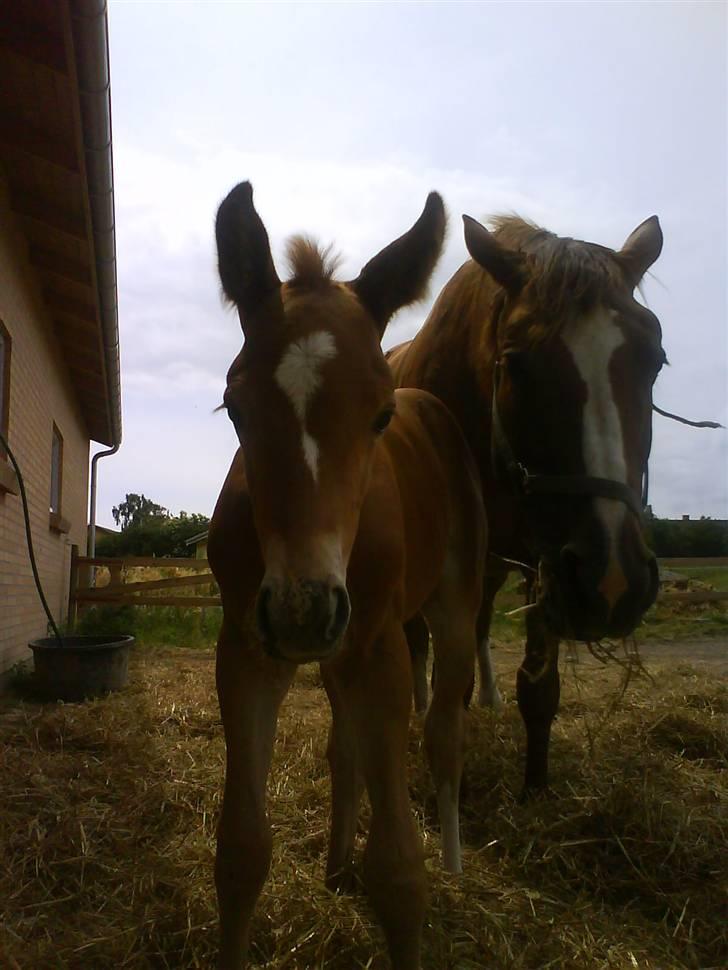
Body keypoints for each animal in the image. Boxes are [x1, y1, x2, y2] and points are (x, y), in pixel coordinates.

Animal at [208, 183, 486, 968]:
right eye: (234, 406)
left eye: (379, 415)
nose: (303, 610)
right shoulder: (247, 648)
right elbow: (241, 852)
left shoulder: (379, 649)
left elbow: (399, 871)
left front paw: (407, 882)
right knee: (344, 751)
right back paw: (335, 868)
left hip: (451, 612)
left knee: (444, 734)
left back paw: (456, 867)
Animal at [390, 212, 664, 796]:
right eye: (517, 364)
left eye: (654, 360)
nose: (614, 581)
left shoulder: (546, 559)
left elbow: (538, 688)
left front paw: (535, 787)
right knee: (417, 639)